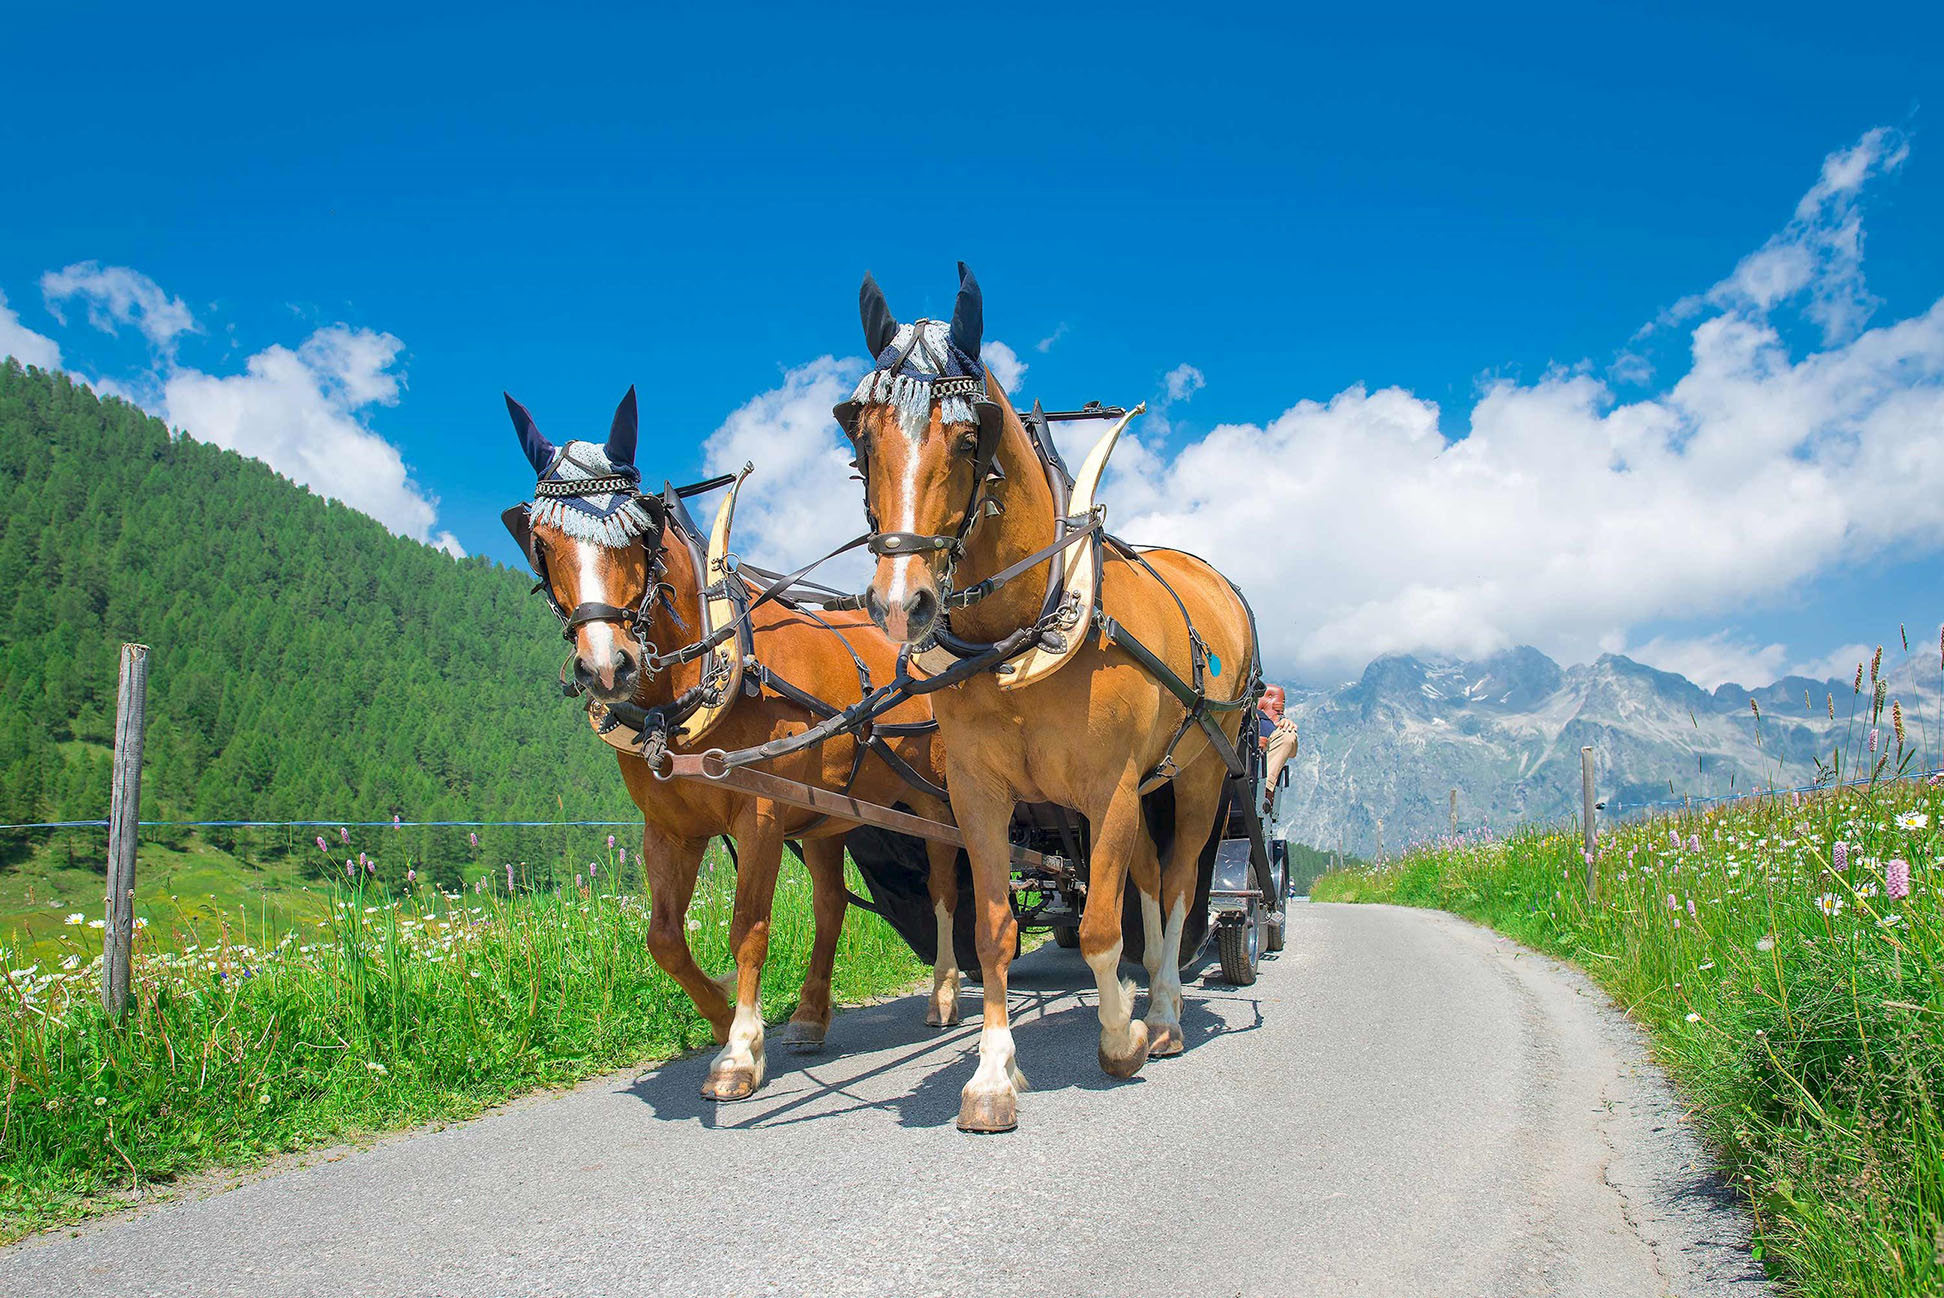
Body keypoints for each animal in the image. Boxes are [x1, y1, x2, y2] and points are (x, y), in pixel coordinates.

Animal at [502, 388, 965, 1101]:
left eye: (639, 535)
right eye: (544, 545)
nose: (607, 667)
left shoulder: (761, 814)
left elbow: (747, 924)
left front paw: (741, 1048)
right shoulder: (670, 829)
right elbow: (663, 939)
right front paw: (722, 1019)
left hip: (934, 799)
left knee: (943, 884)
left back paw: (943, 992)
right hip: (826, 817)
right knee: (831, 904)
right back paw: (809, 1016)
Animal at [833, 266, 1259, 1132]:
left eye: (971, 440)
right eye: (861, 442)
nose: (901, 604)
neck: (1023, 634)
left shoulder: (1110, 787)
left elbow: (1097, 928)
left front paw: (1121, 1036)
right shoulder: (980, 796)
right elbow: (996, 929)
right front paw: (993, 1076)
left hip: (1199, 776)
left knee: (1179, 881)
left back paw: (1165, 1014)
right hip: (1145, 792)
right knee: (1149, 881)